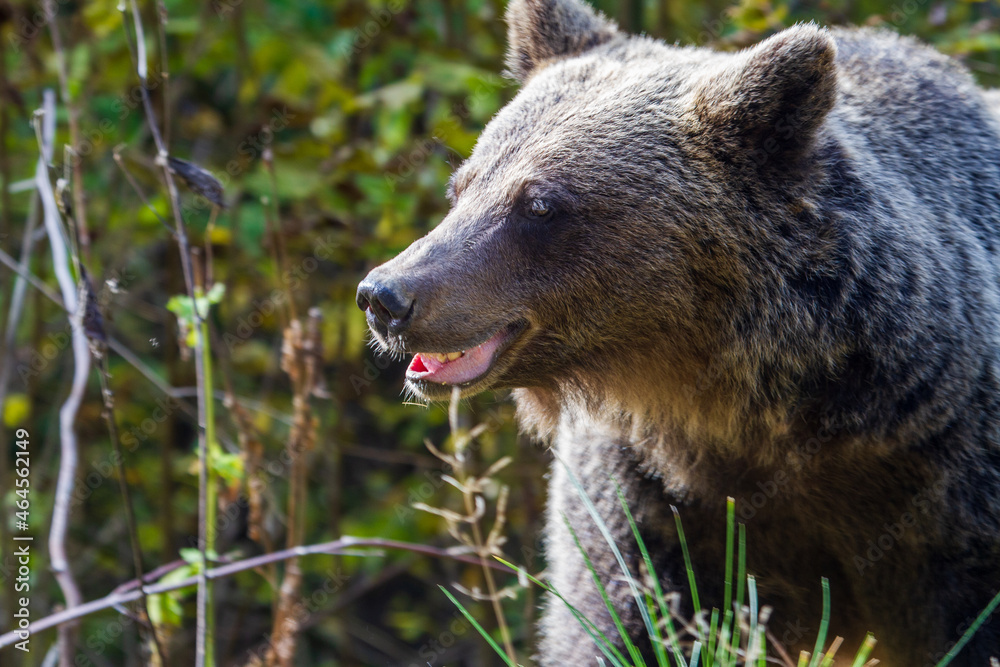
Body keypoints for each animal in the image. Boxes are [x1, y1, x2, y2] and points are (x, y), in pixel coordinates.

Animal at [356, 2, 1000, 664]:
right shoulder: (648, 488)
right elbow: (616, 615)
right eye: (463, 185)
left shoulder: (946, 487)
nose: (385, 295)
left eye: (537, 203)